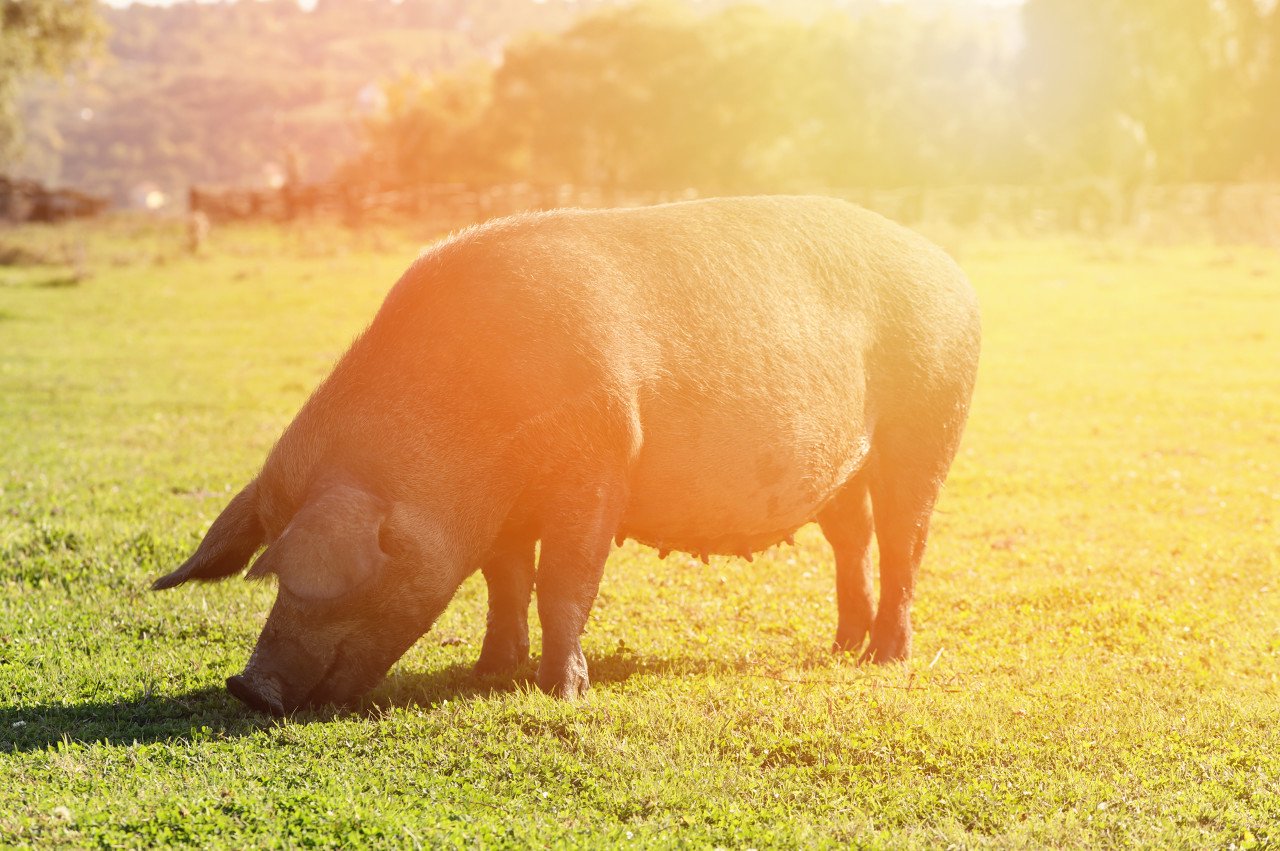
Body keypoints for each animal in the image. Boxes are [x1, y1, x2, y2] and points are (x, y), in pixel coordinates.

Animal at [154, 195, 983, 711]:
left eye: (335, 578)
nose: (246, 687)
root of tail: (952, 268)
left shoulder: (599, 461)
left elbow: (564, 580)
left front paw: (561, 690)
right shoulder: (501, 509)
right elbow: (505, 580)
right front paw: (491, 670)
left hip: (929, 422)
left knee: (906, 539)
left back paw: (884, 658)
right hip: (845, 467)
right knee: (853, 541)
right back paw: (842, 647)